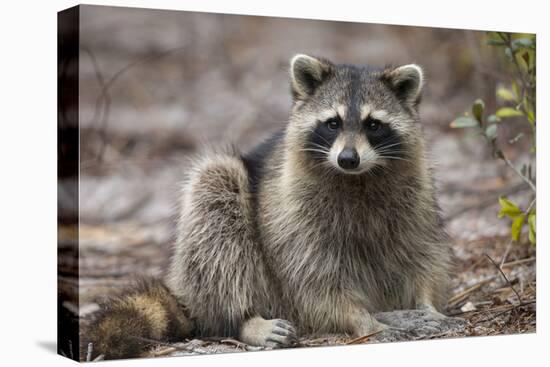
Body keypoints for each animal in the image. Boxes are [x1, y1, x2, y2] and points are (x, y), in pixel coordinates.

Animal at [89, 54, 452, 360]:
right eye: (332, 123)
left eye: (373, 124)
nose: (348, 159)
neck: (357, 178)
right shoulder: (294, 215)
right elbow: (312, 281)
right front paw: (363, 321)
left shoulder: (415, 196)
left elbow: (422, 253)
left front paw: (426, 304)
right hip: (218, 226)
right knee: (216, 213)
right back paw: (245, 320)